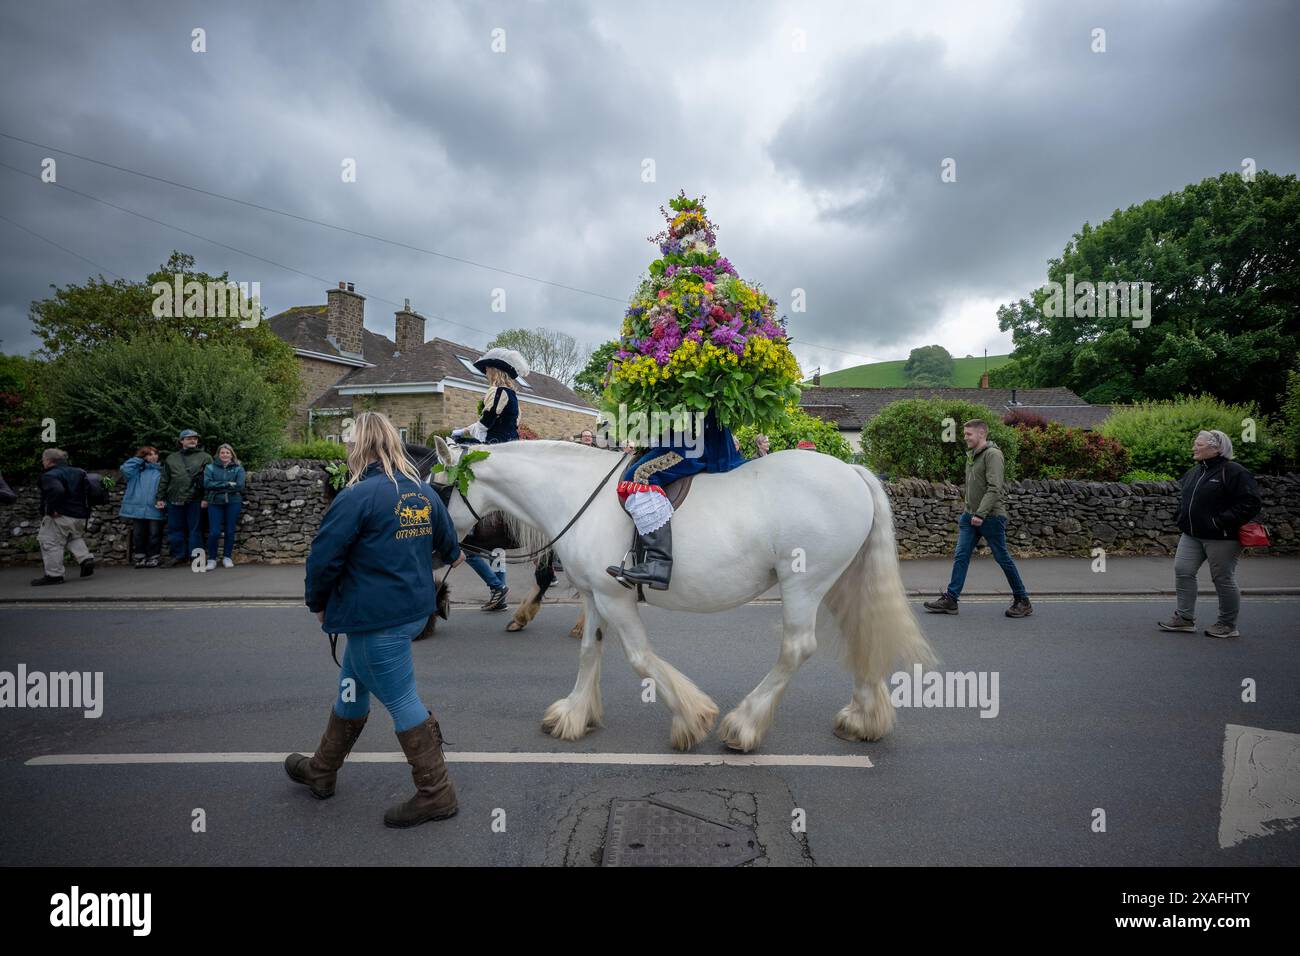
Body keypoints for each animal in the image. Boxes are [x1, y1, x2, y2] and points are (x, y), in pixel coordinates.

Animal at [431, 437, 930, 749]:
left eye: (438, 485)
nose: (436, 552)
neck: (575, 494)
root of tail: (851, 471)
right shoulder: (594, 596)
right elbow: (590, 651)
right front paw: (573, 715)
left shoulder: (615, 596)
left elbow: (639, 658)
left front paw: (692, 719)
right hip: (839, 581)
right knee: (862, 633)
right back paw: (864, 719)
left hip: (803, 584)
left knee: (797, 648)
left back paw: (744, 725)